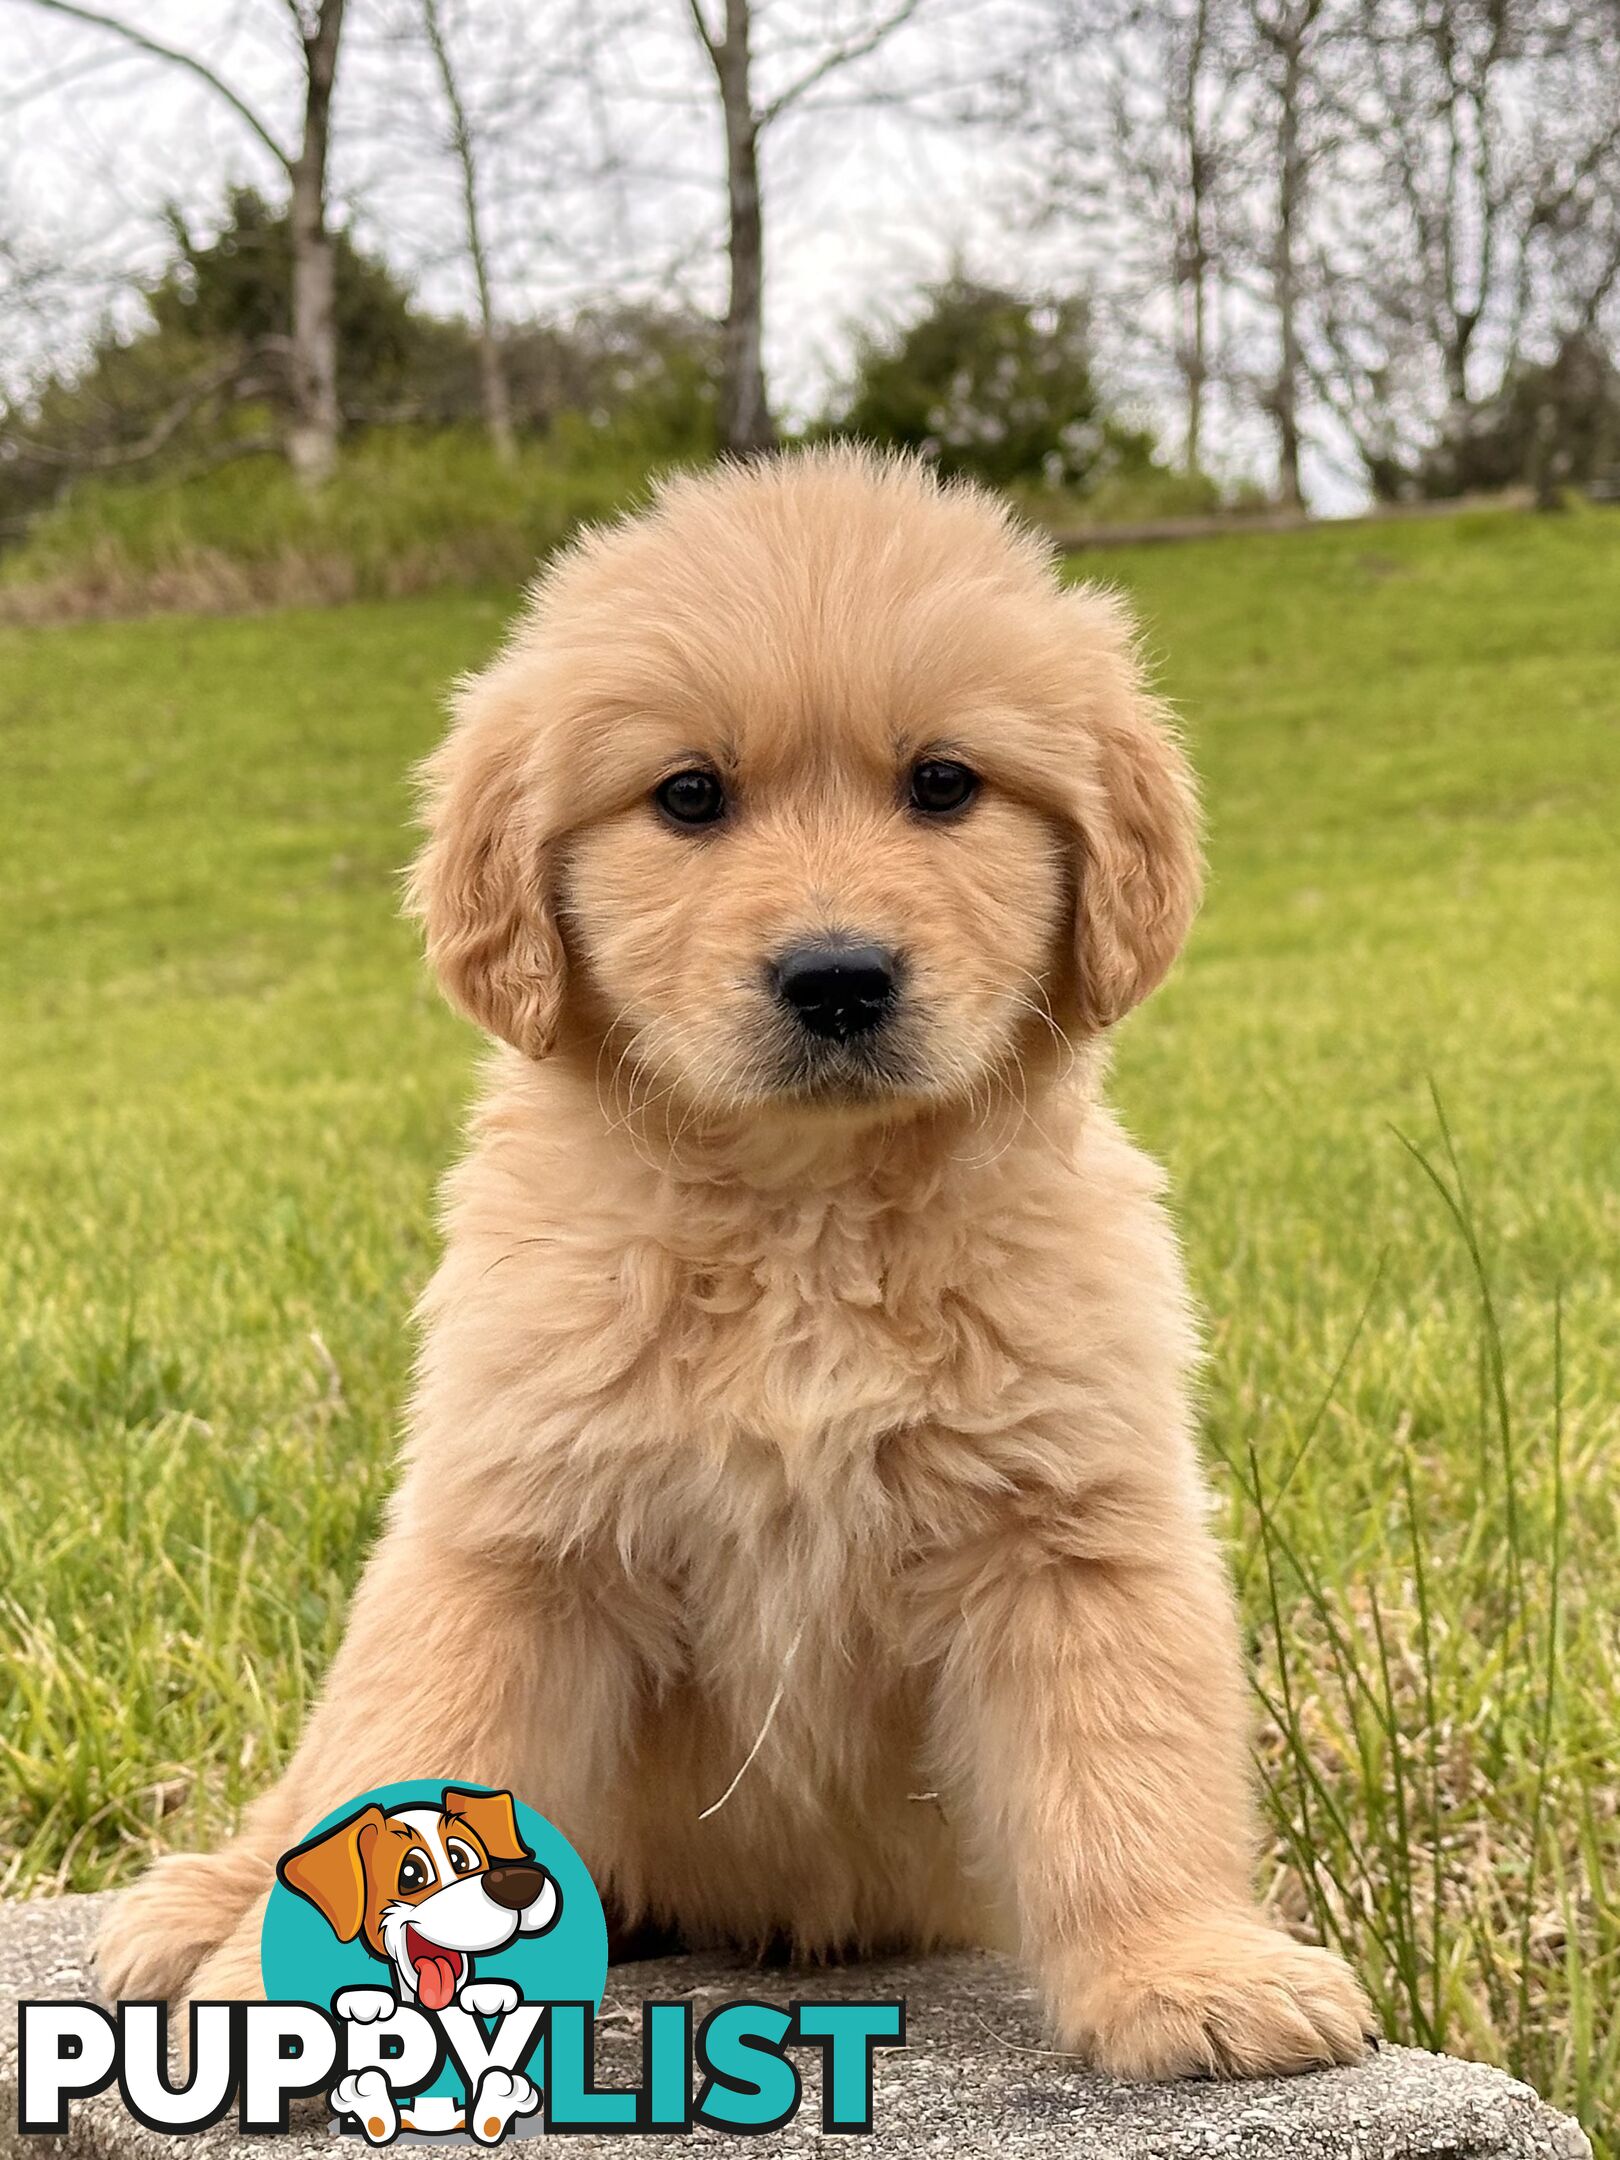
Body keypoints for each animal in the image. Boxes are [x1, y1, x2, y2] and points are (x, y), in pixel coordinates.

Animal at [95, 447, 1373, 2082]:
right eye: (690, 797)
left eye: (943, 784)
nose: (837, 978)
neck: (802, 1221)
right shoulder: (514, 1533)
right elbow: (407, 1742)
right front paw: (288, 2001)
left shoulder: (1068, 1525)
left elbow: (1123, 1763)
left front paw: (1187, 1969)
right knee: (301, 1788)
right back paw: (194, 1903)